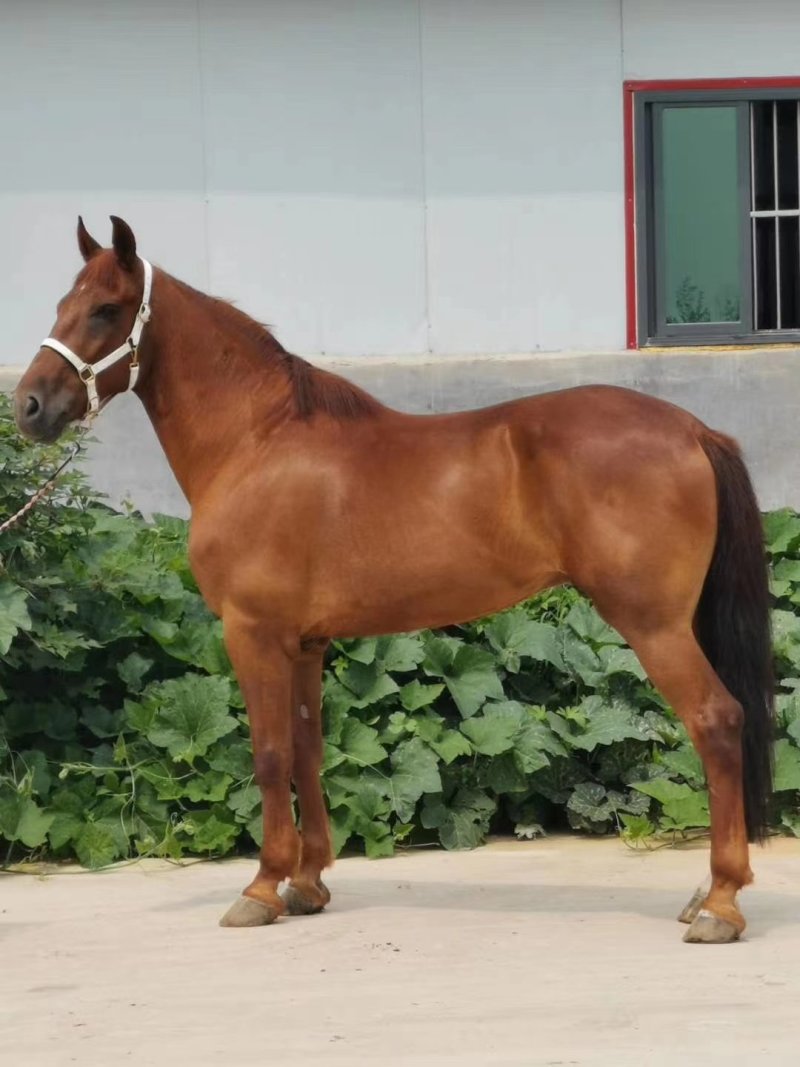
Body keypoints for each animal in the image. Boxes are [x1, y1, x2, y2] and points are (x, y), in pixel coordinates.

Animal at [14, 216, 773, 944]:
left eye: (106, 310)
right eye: (62, 304)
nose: (27, 406)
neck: (257, 442)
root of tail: (693, 429)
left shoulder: (253, 633)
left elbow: (268, 755)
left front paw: (260, 888)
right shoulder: (305, 643)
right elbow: (307, 750)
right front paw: (308, 883)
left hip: (653, 624)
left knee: (716, 721)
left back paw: (721, 904)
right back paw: (704, 895)